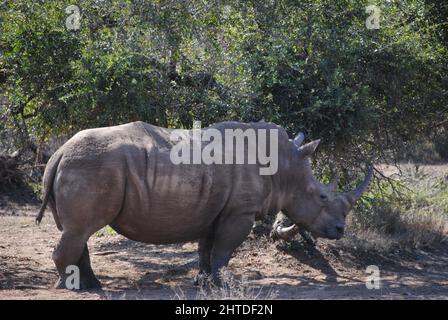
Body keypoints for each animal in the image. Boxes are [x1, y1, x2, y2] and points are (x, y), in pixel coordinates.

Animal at [35, 120, 372, 290]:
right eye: (322, 197)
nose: (339, 230)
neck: (284, 166)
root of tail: (59, 152)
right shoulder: (240, 212)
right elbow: (224, 249)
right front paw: (225, 284)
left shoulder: (215, 209)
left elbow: (206, 248)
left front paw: (203, 281)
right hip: (90, 165)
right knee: (80, 230)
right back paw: (73, 288)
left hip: (78, 165)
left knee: (77, 231)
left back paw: (91, 285)